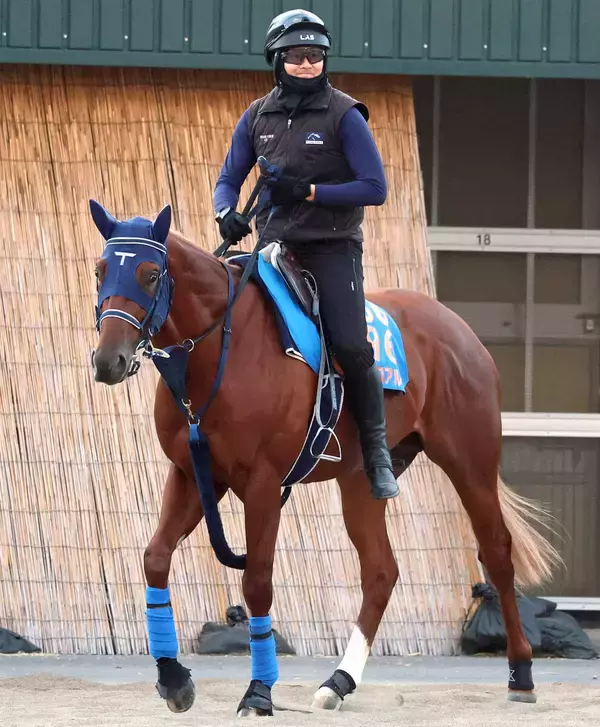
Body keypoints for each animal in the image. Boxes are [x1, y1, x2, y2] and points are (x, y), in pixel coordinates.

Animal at [88, 196, 561, 717]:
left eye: (151, 274)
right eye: (101, 270)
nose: (108, 360)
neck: (219, 350)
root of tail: (457, 327)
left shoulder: (262, 484)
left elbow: (257, 583)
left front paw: (259, 691)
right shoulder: (193, 474)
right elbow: (155, 558)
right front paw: (173, 678)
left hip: (470, 463)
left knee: (496, 552)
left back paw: (522, 673)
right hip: (361, 480)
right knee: (381, 571)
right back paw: (339, 680)